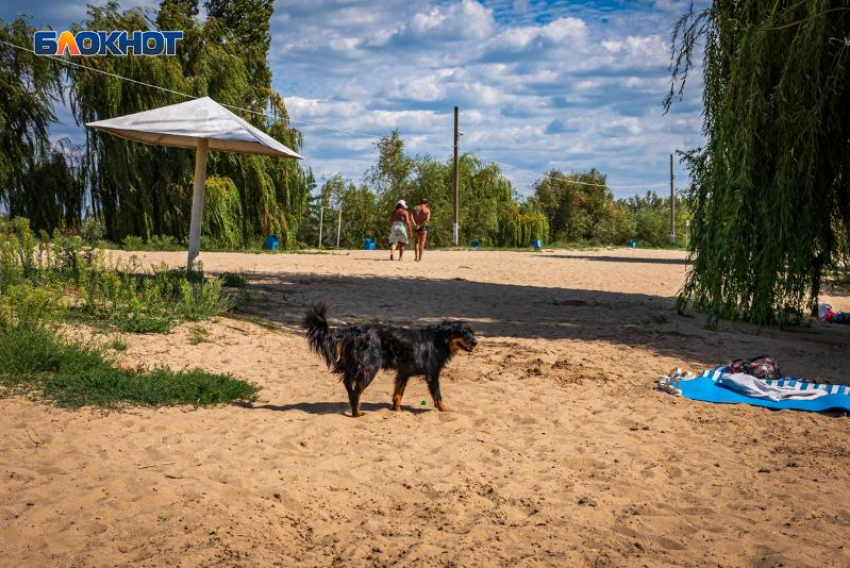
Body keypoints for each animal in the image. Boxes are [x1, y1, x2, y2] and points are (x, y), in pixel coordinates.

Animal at [304, 302, 476, 418]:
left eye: (472, 332)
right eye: (464, 332)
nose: (475, 342)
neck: (440, 340)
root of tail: (352, 330)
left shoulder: (404, 373)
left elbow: (398, 394)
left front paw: (397, 411)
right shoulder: (432, 374)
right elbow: (437, 395)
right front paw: (444, 409)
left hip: (356, 366)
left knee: (349, 386)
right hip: (369, 368)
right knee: (357, 391)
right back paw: (357, 413)